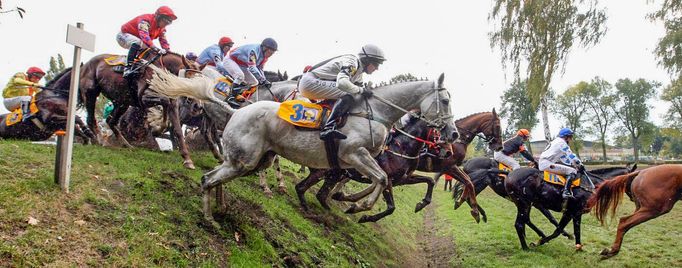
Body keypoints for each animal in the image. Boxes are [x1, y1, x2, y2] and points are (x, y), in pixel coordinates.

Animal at [148, 66, 456, 223]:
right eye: (446, 100)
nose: (452, 135)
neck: (375, 112)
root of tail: (236, 111)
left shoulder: (358, 163)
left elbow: (382, 181)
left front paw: (353, 202)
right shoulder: (354, 155)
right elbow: (381, 179)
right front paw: (360, 206)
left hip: (251, 161)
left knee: (215, 177)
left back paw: (221, 210)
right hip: (244, 160)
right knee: (207, 178)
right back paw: (210, 216)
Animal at [292, 114, 478, 223]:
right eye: (440, 130)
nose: (448, 152)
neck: (403, 147)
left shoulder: (402, 178)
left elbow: (430, 181)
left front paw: (421, 204)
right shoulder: (389, 179)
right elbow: (390, 207)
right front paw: (362, 213)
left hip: (333, 173)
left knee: (317, 191)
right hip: (329, 171)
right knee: (309, 188)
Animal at [502, 164, 636, 250]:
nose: (635, 196)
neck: (590, 184)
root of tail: (510, 174)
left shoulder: (573, 213)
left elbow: (572, 231)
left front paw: (578, 247)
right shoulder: (572, 212)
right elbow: (559, 231)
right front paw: (540, 242)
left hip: (528, 204)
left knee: (524, 221)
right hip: (524, 204)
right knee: (519, 224)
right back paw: (525, 248)